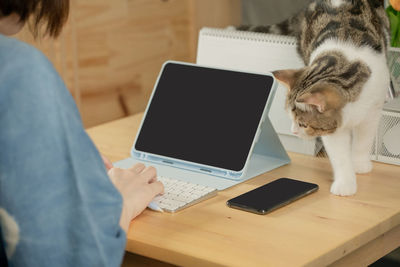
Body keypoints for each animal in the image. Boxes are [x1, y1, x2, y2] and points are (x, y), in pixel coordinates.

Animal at [238, 0, 390, 197]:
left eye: (303, 124)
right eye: (291, 119)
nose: (294, 132)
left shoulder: (373, 110)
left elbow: (364, 139)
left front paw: (360, 164)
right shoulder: (331, 129)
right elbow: (340, 155)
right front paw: (345, 184)